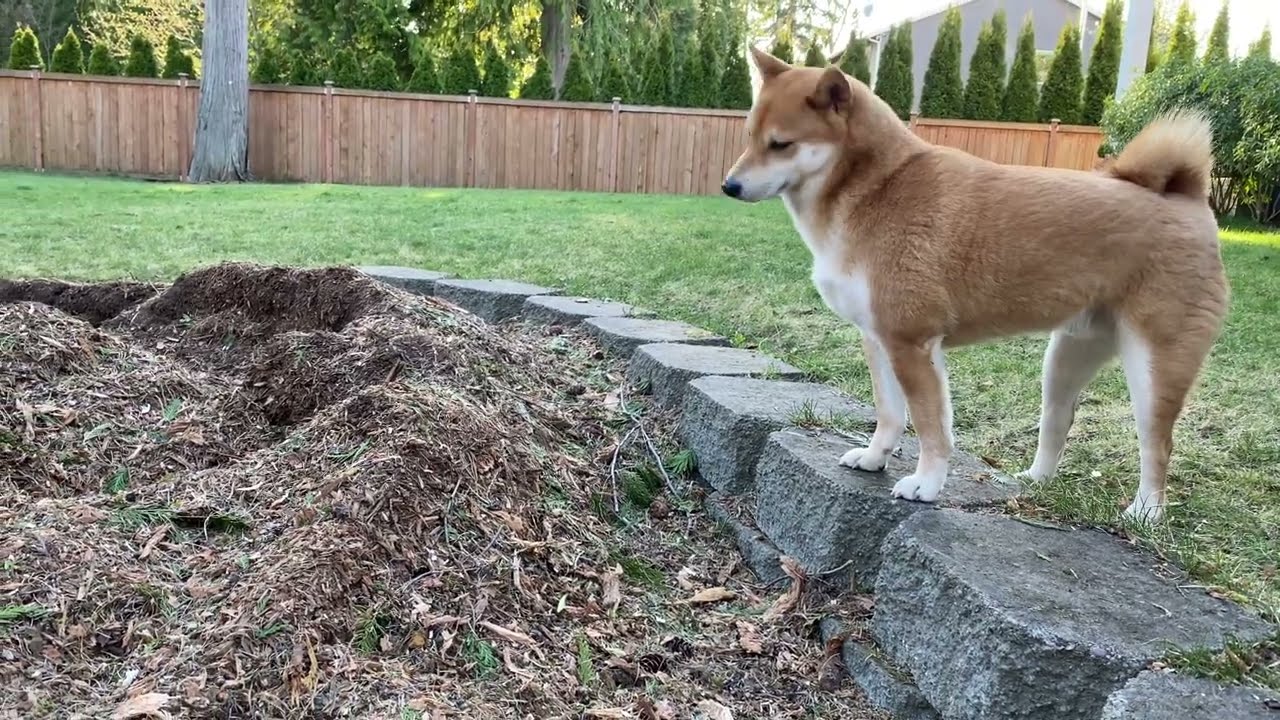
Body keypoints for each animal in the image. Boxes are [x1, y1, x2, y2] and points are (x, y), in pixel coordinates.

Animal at [721, 47, 1228, 517]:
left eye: (781, 144)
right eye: (749, 139)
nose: (729, 186)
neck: (876, 189)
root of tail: (1187, 197)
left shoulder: (912, 344)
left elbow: (930, 426)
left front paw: (926, 484)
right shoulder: (880, 339)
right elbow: (889, 414)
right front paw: (874, 457)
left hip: (1154, 369)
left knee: (1158, 446)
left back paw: (1145, 513)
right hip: (1064, 359)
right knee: (1059, 423)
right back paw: (1034, 481)